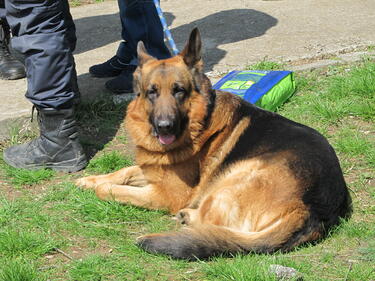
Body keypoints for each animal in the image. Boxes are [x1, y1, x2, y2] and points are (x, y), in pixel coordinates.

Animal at [76, 27, 352, 258]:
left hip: (229, 181)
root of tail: (312, 208)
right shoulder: (153, 170)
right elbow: (123, 171)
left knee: (212, 224)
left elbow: (109, 189)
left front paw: (99, 186)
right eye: (151, 92)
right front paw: (88, 180)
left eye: (179, 90)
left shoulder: (165, 194)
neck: (200, 120)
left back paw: (188, 217)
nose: (165, 126)